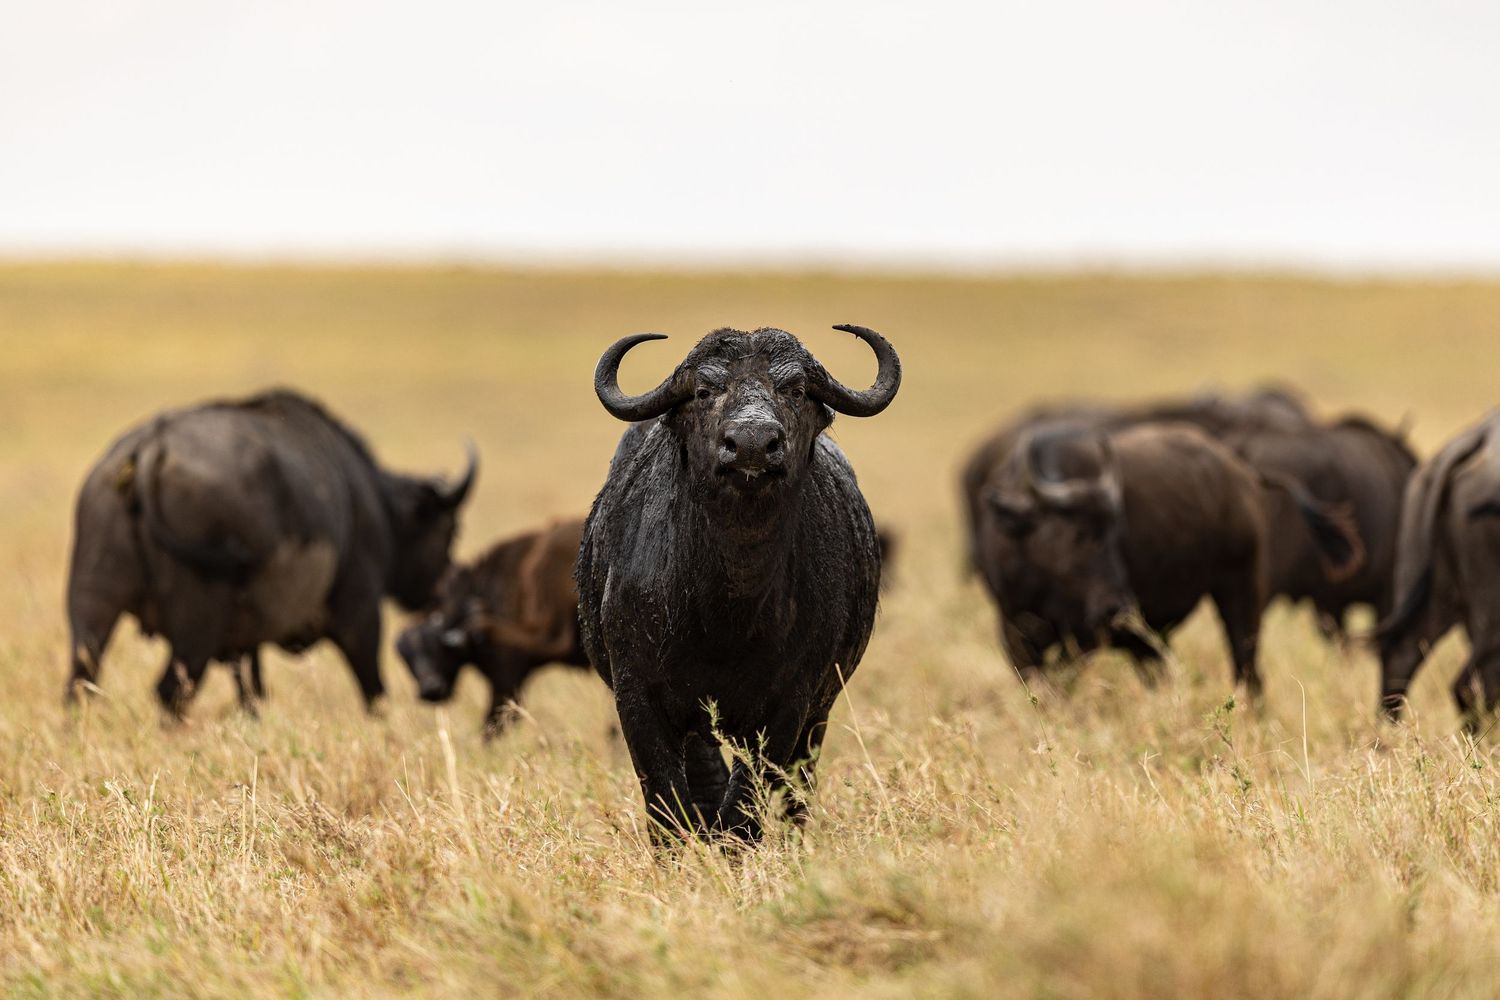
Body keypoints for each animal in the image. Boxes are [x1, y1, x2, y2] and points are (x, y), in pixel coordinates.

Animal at [65, 389, 475, 715]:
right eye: (451, 530)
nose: (440, 591)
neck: (374, 503)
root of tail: (150, 448)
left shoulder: (244, 645)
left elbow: (251, 693)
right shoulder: (360, 616)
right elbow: (374, 690)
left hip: (94, 606)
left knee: (79, 684)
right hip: (195, 627)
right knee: (170, 691)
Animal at [396, 518, 590, 736]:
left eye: (435, 646)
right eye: (405, 658)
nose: (430, 690)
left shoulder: (506, 679)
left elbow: (492, 726)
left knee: (555, 639)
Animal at [576, 325, 899, 842]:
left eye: (795, 390)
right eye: (705, 391)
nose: (751, 443)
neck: (726, 609)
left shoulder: (790, 703)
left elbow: (749, 799)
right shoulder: (637, 695)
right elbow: (666, 796)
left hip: (820, 713)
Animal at [974, 422, 1362, 697]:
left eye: (1115, 535)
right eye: (1076, 535)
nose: (1116, 607)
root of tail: (1241, 473)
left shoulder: (1085, 638)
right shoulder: (1013, 632)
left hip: (1241, 593)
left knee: (1248, 671)